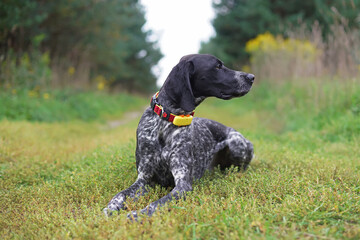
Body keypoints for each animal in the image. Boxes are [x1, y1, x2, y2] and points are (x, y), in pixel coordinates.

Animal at [102, 54, 255, 219]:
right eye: (217, 66)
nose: (251, 77)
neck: (166, 120)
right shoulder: (144, 179)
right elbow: (121, 194)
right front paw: (110, 208)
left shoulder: (182, 184)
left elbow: (156, 204)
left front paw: (136, 215)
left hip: (236, 144)